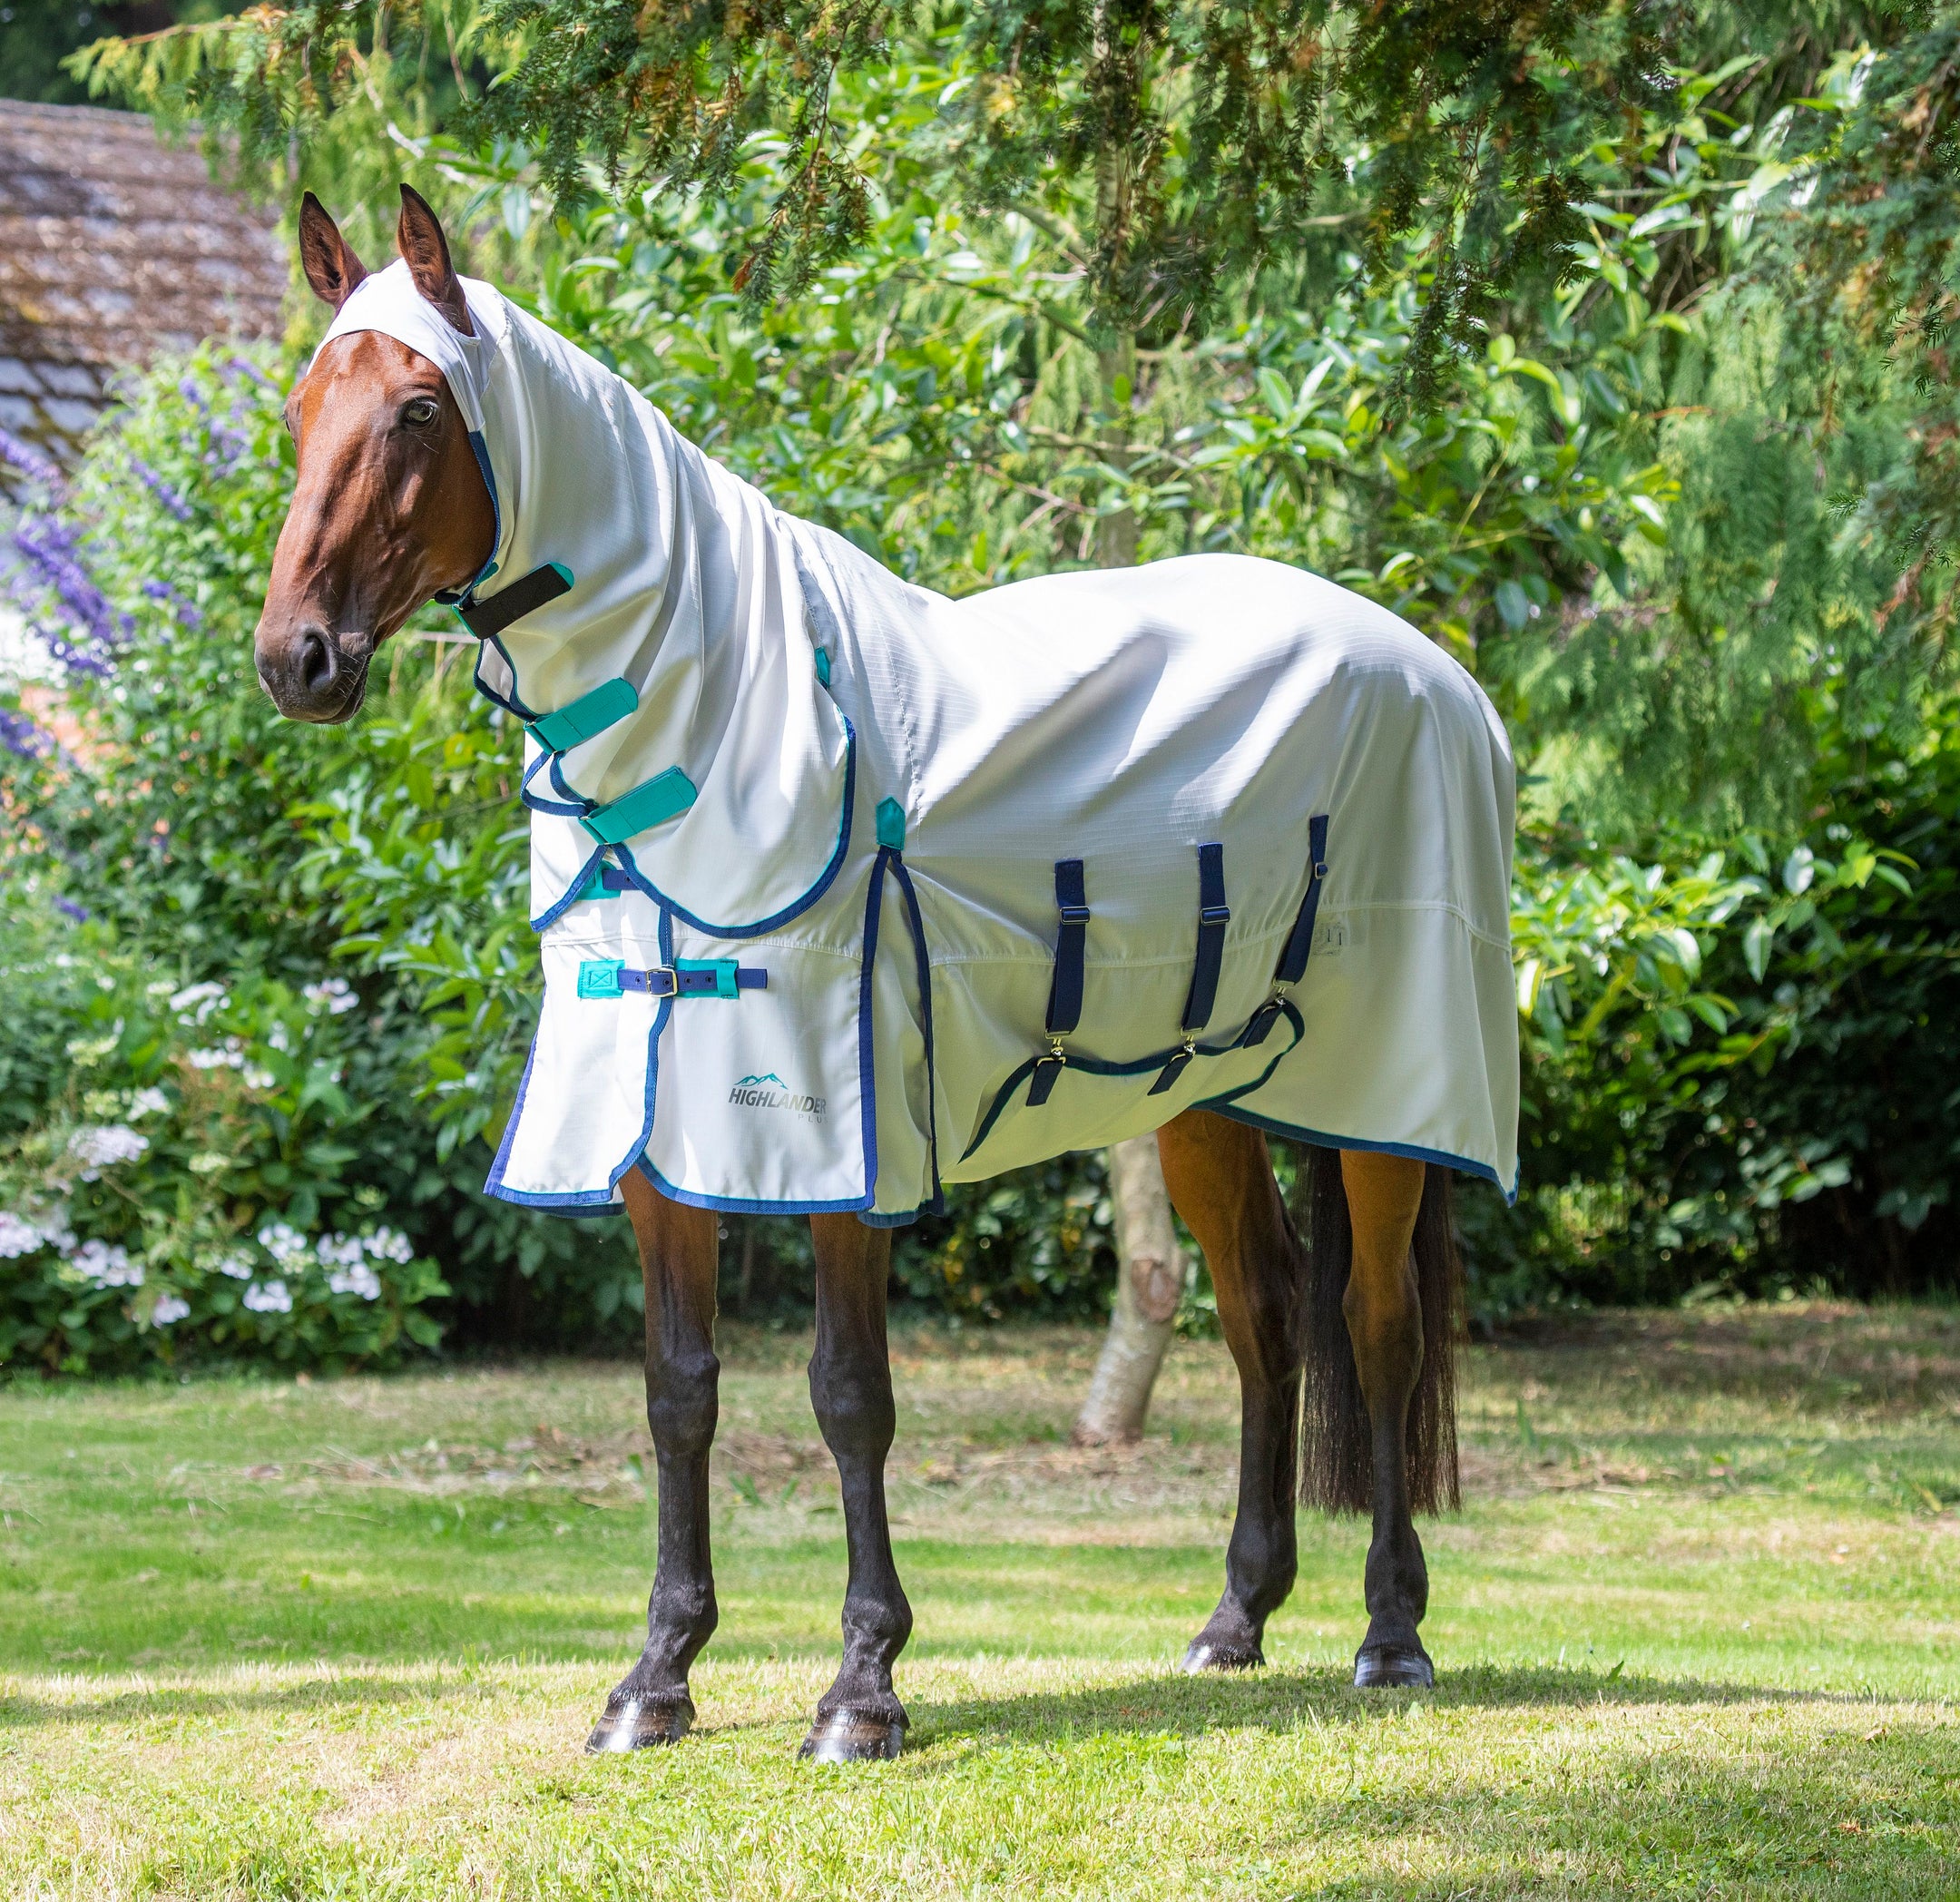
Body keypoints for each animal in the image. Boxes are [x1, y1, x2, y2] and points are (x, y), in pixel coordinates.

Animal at [252, 185, 1521, 1757]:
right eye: (302, 407)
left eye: (422, 408)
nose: (297, 658)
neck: (725, 716)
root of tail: (1436, 670)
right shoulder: (653, 1132)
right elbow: (678, 1394)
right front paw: (656, 1677)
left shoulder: (832, 1130)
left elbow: (849, 1395)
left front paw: (862, 1688)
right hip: (1199, 1100)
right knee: (1266, 1319)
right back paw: (1236, 1620)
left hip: (1388, 1100)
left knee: (1380, 1328)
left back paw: (1392, 1637)